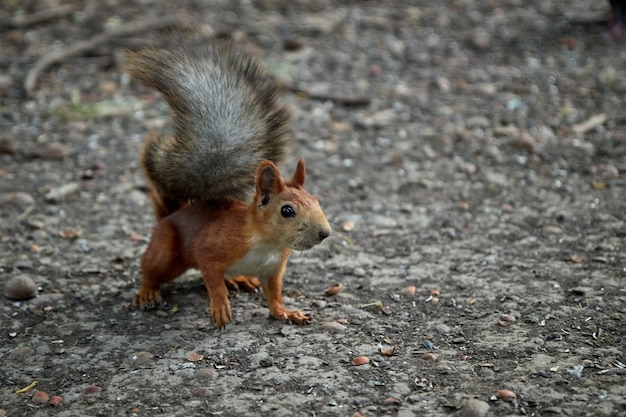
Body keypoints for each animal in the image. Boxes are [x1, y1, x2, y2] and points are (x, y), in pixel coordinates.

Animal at [123, 36, 334, 328]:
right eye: (287, 210)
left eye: (317, 201)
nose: (325, 233)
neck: (267, 244)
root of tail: (171, 215)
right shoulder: (212, 247)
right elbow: (211, 278)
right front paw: (220, 307)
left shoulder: (274, 270)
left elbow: (274, 294)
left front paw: (285, 312)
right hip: (165, 252)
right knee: (150, 270)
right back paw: (147, 292)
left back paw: (239, 279)